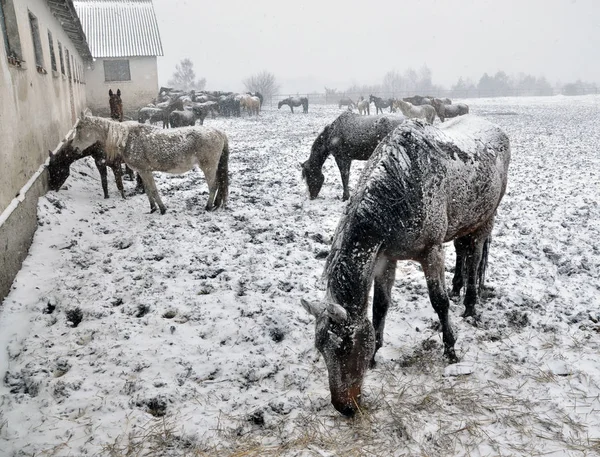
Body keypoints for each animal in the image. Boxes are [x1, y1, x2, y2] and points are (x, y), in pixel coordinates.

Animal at [69, 115, 230, 213]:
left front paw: (162, 209)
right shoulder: (142, 171)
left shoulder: (145, 171)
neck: (127, 139)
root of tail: (219, 132)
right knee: (220, 183)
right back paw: (216, 204)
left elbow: (153, 190)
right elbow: (147, 190)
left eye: (79, 129)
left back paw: (208, 206)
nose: (73, 148)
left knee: (214, 185)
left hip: (208, 167)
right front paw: (152, 208)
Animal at [304, 116, 510, 416]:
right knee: (463, 251)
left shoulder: (431, 252)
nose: (345, 407)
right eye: (321, 348)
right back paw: (458, 288)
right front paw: (375, 354)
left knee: (476, 257)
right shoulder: (385, 258)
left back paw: (471, 305)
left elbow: (439, 302)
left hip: (485, 220)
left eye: (345, 347)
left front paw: (450, 350)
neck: (401, 188)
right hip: (462, 224)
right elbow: (380, 306)